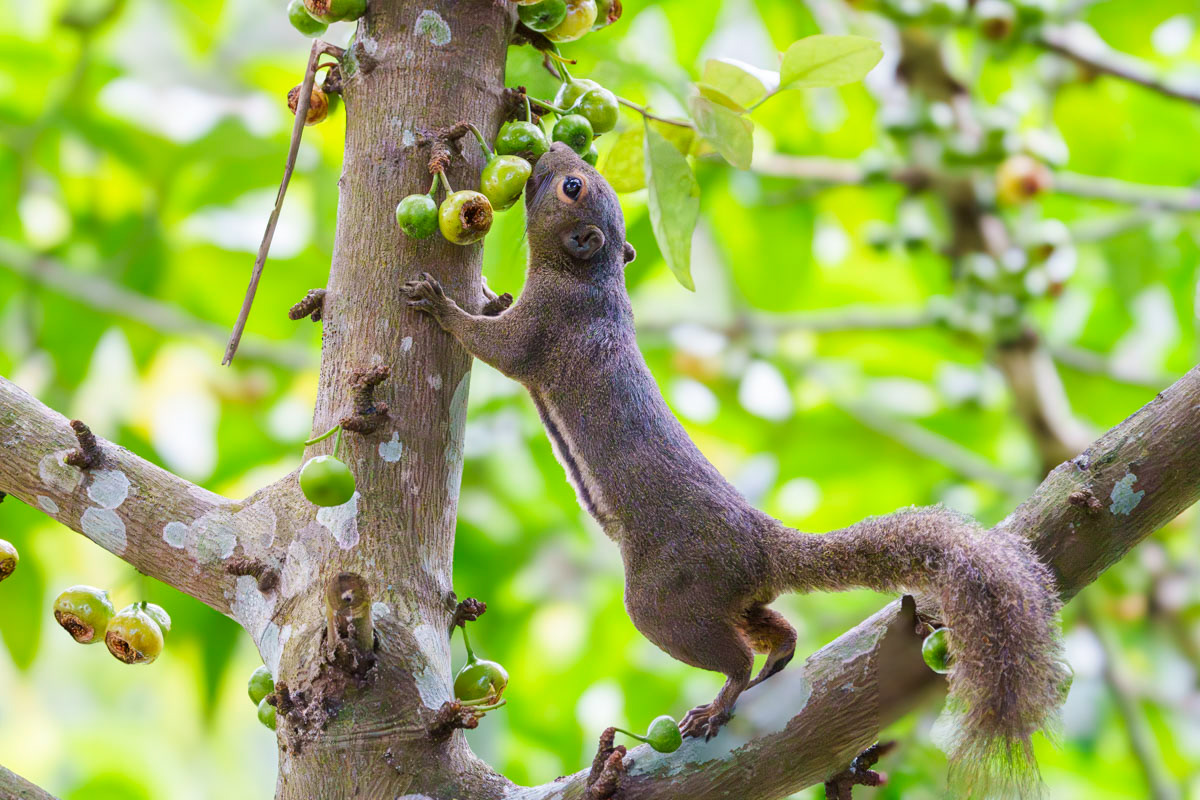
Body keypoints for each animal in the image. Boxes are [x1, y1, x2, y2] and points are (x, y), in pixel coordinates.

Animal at [401, 142, 1068, 795]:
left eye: (572, 187)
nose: (555, 147)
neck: (592, 278)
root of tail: (763, 543)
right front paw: (492, 294)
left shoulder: (546, 325)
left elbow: (498, 347)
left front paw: (441, 303)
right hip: (733, 598)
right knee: (779, 631)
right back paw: (772, 666)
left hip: (667, 599)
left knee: (732, 656)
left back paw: (720, 703)